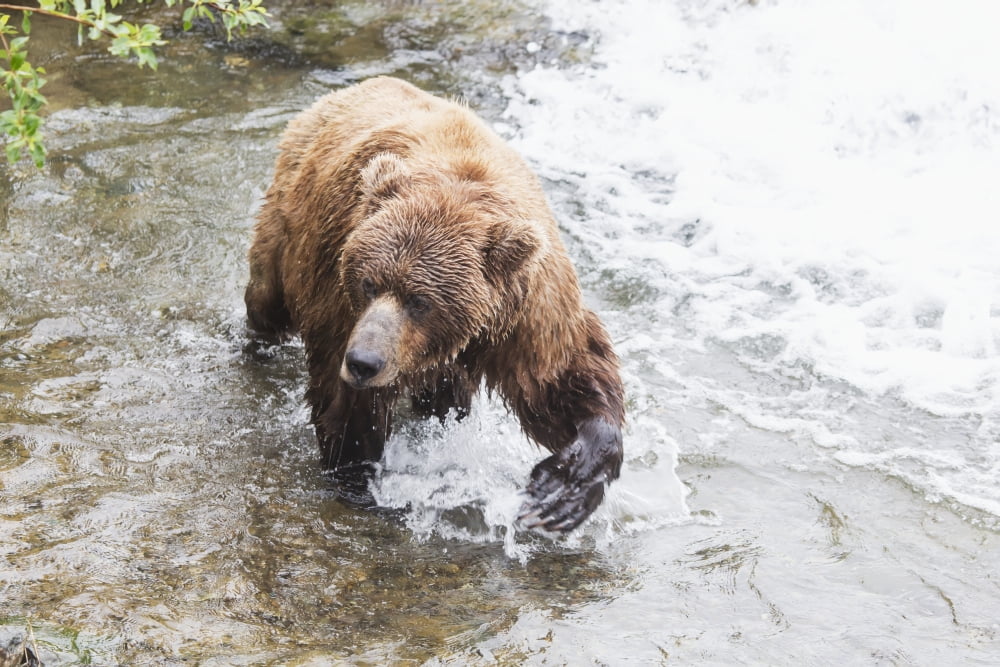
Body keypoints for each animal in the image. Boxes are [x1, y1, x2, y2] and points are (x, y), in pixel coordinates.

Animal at [245, 76, 624, 533]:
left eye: (420, 301)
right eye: (368, 284)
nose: (364, 362)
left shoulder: (526, 308)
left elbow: (558, 378)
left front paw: (564, 488)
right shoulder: (338, 296)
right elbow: (347, 406)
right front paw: (361, 482)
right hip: (288, 225)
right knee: (267, 298)